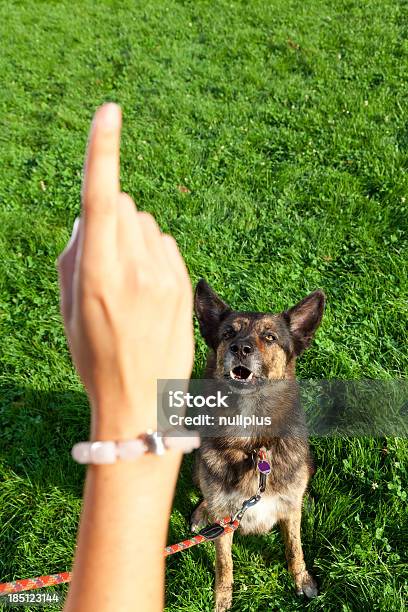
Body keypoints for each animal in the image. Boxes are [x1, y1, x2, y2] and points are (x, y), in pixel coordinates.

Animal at [190, 280, 326, 608]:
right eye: (228, 333)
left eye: (270, 337)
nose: (240, 348)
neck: (252, 445)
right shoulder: (226, 520)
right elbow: (223, 563)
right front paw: (222, 598)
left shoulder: (290, 510)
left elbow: (294, 548)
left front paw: (302, 580)